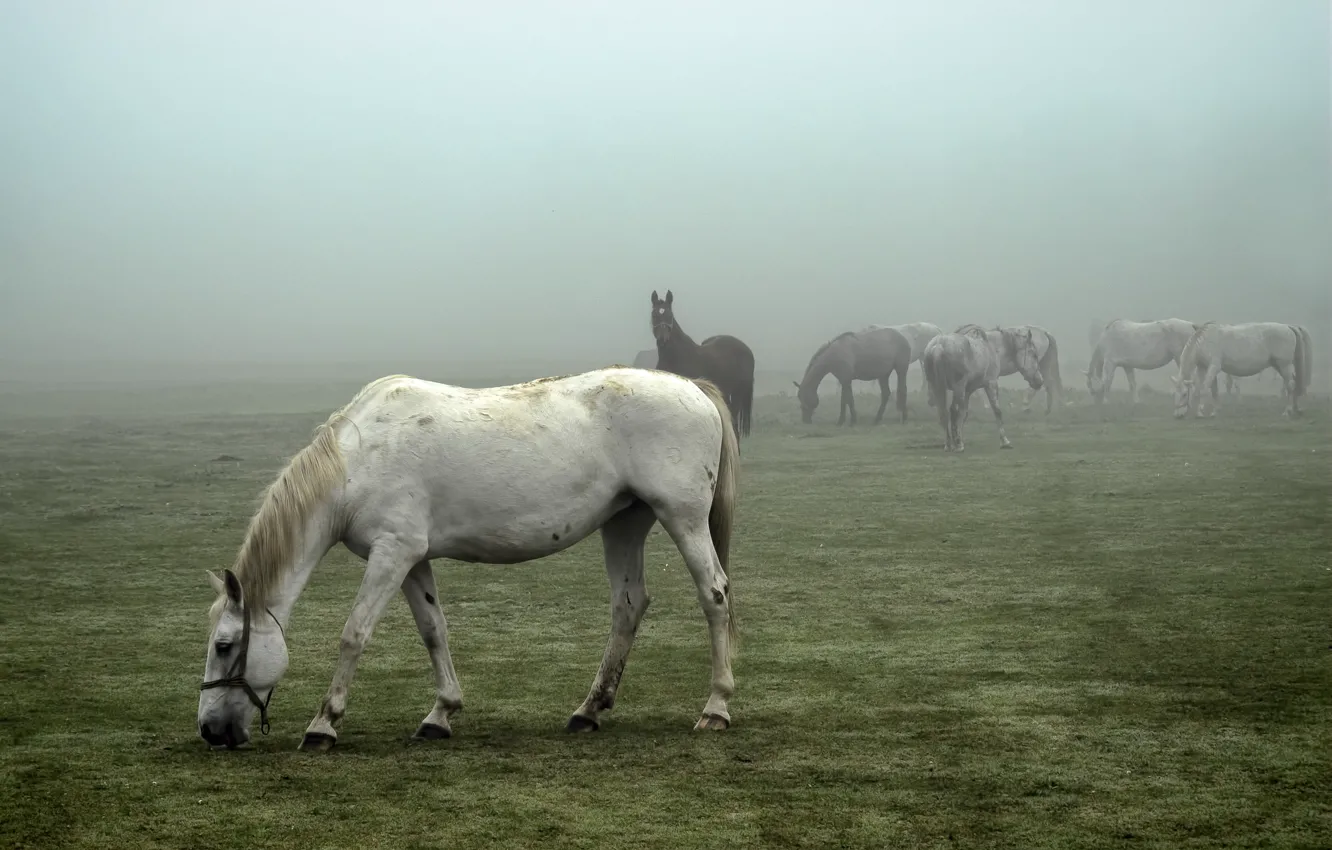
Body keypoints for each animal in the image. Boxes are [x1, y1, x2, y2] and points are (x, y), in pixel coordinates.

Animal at [198, 370, 745, 756]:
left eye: (224, 647)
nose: (209, 729)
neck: (359, 459)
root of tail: (690, 387)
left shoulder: (392, 553)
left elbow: (354, 634)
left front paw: (323, 724)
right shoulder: (411, 559)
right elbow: (433, 630)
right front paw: (440, 714)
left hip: (682, 518)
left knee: (715, 595)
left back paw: (716, 707)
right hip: (625, 523)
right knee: (629, 605)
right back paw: (589, 710)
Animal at [650, 291, 756, 439]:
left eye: (670, 315)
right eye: (654, 315)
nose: (662, 340)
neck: (677, 357)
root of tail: (748, 351)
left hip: (737, 394)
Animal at [788, 326, 916, 426]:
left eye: (803, 397)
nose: (805, 420)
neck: (834, 354)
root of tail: (903, 338)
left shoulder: (846, 380)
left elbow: (847, 399)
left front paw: (848, 421)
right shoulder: (844, 380)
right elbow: (846, 400)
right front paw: (846, 420)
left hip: (901, 370)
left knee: (902, 390)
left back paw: (904, 417)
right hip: (884, 375)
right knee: (885, 394)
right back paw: (877, 419)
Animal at [1172, 322, 1305, 421]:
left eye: (1184, 394)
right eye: (1174, 394)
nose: (1178, 415)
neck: (1204, 341)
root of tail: (1288, 327)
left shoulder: (1214, 367)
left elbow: (1204, 389)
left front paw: (1201, 413)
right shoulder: (1203, 368)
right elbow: (1204, 390)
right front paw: (1210, 412)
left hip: (1284, 365)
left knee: (1291, 385)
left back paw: (1287, 411)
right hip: (1278, 366)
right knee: (1293, 384)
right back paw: (1296, 409)